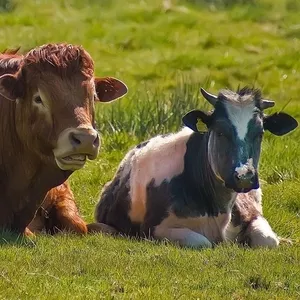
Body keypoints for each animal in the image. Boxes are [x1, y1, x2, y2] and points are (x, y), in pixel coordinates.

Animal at [89, 86, 298, 248]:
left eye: (260, 133)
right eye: (220, 132)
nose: (244, 176)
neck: (218, 209)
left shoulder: (253, 213)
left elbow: (268, 240)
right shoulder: (154, 228)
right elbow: (202, 242)